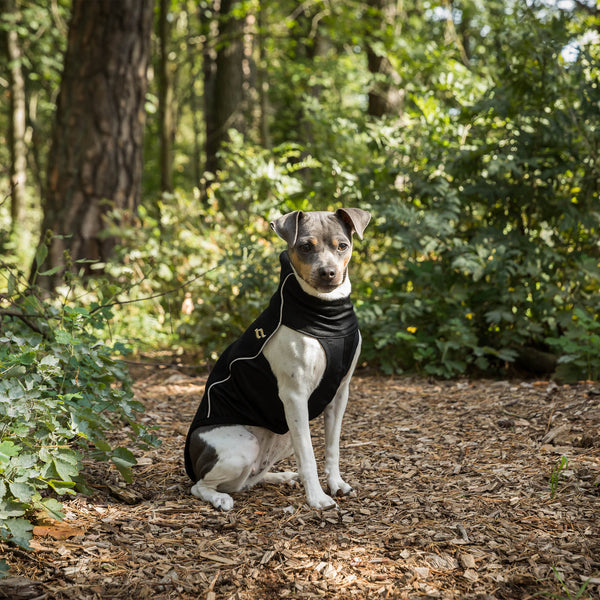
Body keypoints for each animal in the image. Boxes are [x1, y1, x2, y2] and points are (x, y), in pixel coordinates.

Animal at [183, 207, 370, 510]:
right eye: (305, 247)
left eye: (342, 246)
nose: (328, 273)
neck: (325, 312)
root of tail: (193, 458)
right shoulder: (295, 397)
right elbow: (308, 455)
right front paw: (317, 497)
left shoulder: (340, 393)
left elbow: (332, 447)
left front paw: (336, 484)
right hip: (245, 445)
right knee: (202, 486)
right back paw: (220, 498)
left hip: (282, 435)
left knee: (250, 479)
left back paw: (280, 476)